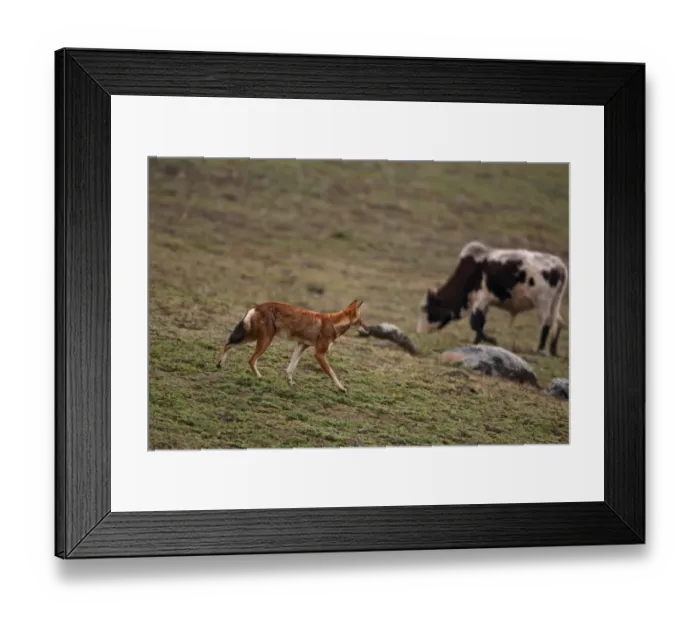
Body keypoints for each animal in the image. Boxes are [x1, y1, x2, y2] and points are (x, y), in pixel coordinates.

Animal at [416, 241, 568, 356]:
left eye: (427, 309)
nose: (419, 331)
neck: (471, 270)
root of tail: (560, 266)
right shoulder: (486, 303)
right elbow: (480, 322)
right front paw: (477, 342)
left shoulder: (481, 297)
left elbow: (475, 322)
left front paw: (491, 340)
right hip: (555, 302)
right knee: (558, 322)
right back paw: (553, 350)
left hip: (543, 303)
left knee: (546, 323)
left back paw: (540, 349)